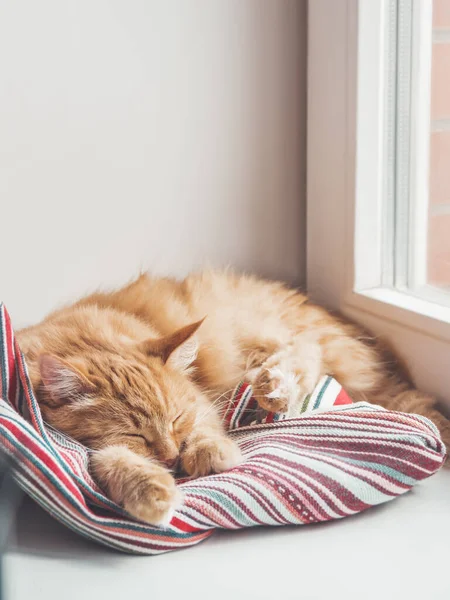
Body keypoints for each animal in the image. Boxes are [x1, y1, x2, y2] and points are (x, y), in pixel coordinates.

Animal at [16, 272, 450, 524]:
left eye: (176, 420)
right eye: (137, 435)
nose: (171, 458)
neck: (78, 336)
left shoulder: (202, 405)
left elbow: (206, 432)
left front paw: (210, 454)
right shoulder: (103, 447)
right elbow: (111, 458)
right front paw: (151, 490)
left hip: (271, 336)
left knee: (307, 352)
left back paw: (274, 387)